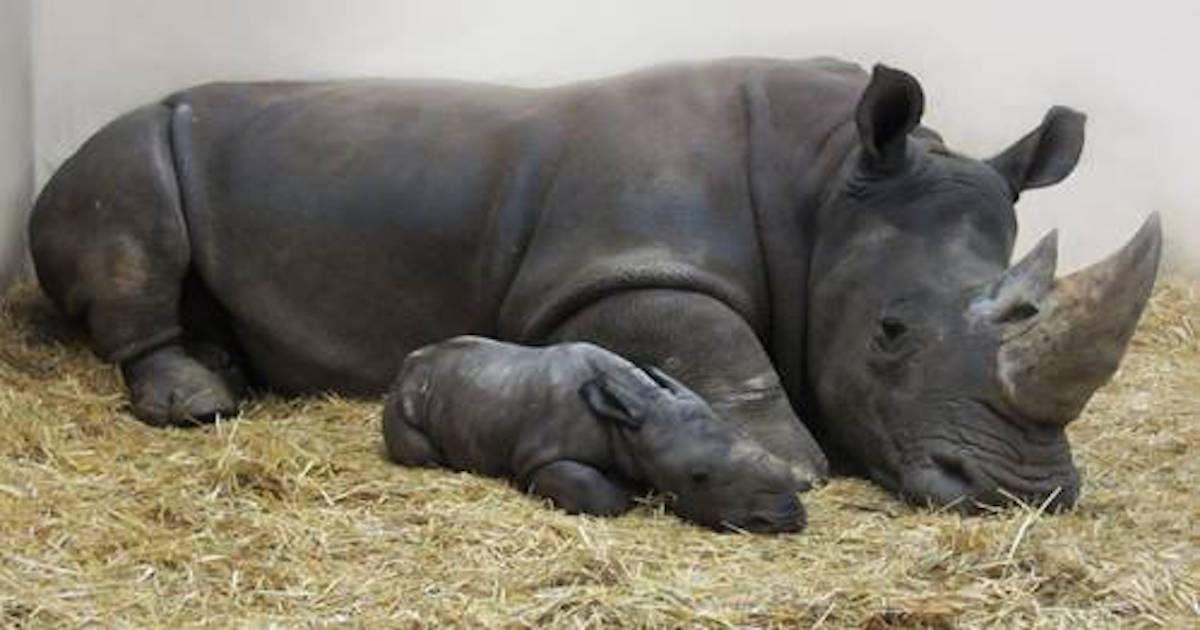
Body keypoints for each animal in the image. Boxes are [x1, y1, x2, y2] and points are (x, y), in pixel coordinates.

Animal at [28, 57, 1161, 512]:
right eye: (888, 331)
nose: (1022, 496)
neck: (828, 181)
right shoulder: (608, 270)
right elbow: (719, 342)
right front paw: (791, 466)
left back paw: (226, 371)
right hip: (116, 149)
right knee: (131, 202)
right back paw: (197, 403)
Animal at [383, 336, 806, 533]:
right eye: (698, 477)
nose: (788, 518)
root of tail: (407, 364)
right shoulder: (539, 461)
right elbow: (595, 493)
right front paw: (628, 491)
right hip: (405, 398)